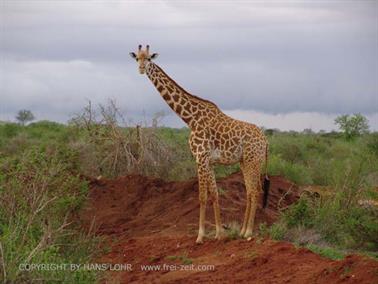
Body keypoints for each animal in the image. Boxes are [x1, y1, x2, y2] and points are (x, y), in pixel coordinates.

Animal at [130, 45, 268, 244]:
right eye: (136, 59)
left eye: (148, 58)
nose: (141, 69)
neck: (190, 119)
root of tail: (266, 140)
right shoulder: (208, 161)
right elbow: (214, 194)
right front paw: (219, 234)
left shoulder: (200, 157)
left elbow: (202, 196)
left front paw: (200, 236)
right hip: (244, 161)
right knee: (250, 192)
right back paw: (242, 232)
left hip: (253, 160)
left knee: (255, 191)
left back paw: (249, 232)